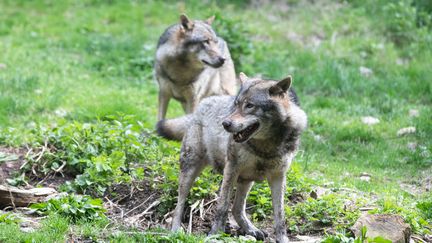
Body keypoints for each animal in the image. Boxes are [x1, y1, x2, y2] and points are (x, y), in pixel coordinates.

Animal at [156, 72, 308, 243]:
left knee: (237, 209)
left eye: (250, 106)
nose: (225, 123)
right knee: (179, 203)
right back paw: (175, 230)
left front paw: (282, 239)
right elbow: (222, 207)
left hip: (247, 180)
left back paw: (251, 229)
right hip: (190, 171)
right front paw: (215, 234)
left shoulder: (278, 177)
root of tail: (199, 107)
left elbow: (280, 215)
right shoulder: (231, 168)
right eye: (236, 104)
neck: (266, 146)